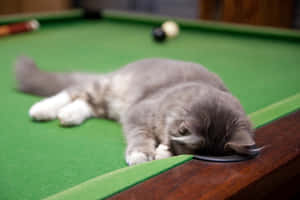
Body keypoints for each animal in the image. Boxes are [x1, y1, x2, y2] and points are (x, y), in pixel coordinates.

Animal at [14, 55, 260, 166]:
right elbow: (140, 135)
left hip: (106, 103)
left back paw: (68, 116)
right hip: (104, 88)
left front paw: (163, 152)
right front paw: (141, 155)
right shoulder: (138, 113)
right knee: (71, 91)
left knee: (87, 105)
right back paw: (42, 109)